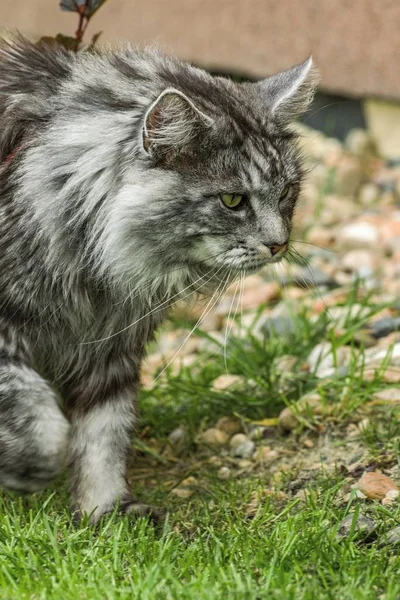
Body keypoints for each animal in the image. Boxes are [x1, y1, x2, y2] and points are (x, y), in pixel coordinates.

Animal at [0, 37, 318, 524]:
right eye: (233, 200)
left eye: (286, 193)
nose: (279, 244)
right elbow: (44, 428)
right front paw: (26, 472)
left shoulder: (111, 349)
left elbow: (102, 437)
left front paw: (104, 515)